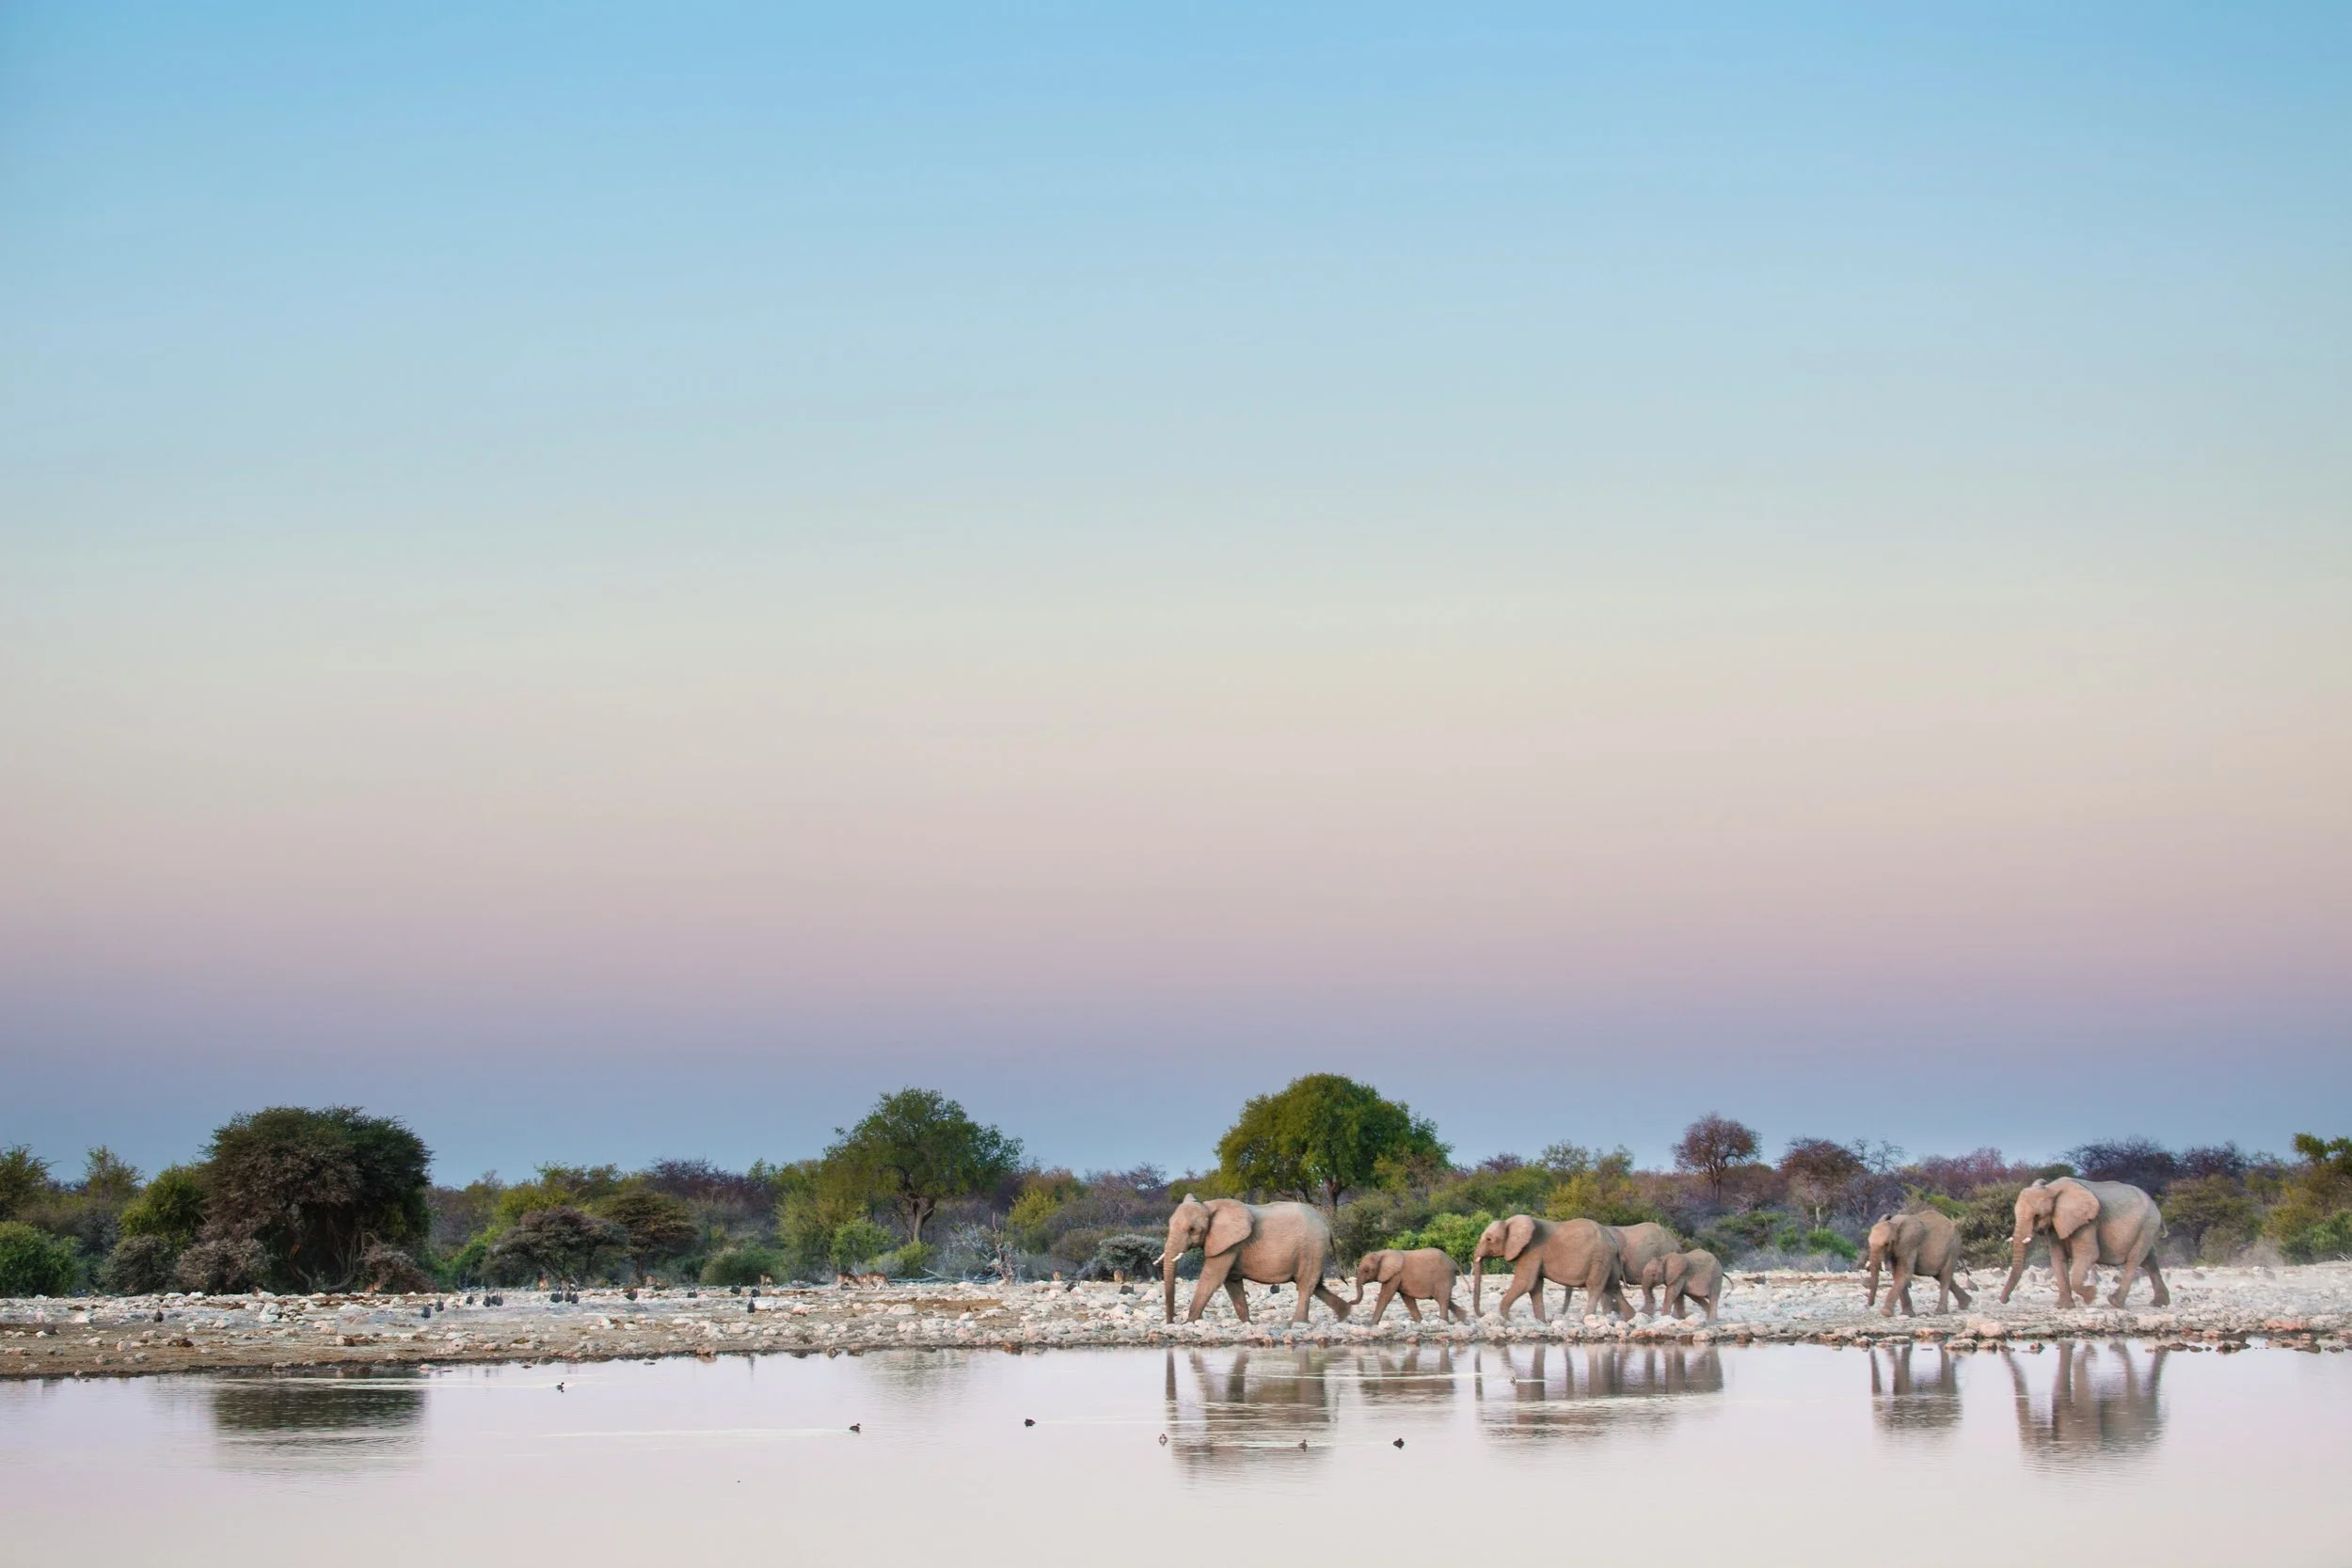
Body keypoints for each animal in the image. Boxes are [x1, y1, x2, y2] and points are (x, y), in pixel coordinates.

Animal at [1160, 1194, 1354, 1324]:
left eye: (1192, 1229)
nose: (1171, 1322)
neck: (1208, 1205)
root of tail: (1326, 1222)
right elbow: (1232, 1282)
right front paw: (1248, 1324)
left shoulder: (1229, 1244)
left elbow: (1212, 1278)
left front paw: (1188, 1323)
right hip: (1313, 1250)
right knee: (1316, 1284)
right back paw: (1345, 1314)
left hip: (1312, 1248)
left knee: (1305, 1284)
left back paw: (1296, 1324)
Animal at [1468, 1214, 1627, 1321]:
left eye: (1489, 1239)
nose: (1483, 1313)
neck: (1510, 1222)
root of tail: (1612, 1239)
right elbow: (1535, 1286)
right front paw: (1542, 1322)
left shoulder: (1532, 1251)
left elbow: (1525, 1283)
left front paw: (1507, 1320)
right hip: (1606, 1260)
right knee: (1613, 1287)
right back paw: (1630, 1317)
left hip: (1599, 1258)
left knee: (1595, 1287)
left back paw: (1585, 1320)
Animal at [1999, 1178, 2169, 1309]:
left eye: (2037, 1216)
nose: (2004, 1301)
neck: (2051, 1189)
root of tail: (2156, 1208)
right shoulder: (2056, 1222)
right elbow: (2058, 1258)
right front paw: (2063, 1307)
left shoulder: (2087, 1222)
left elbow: (2088, 1254)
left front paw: (2092, 1296)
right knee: (2149, 1260)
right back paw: (2160, 1304)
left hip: (2147, 1226)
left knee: (2134, 1260)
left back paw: (2115, 1302)